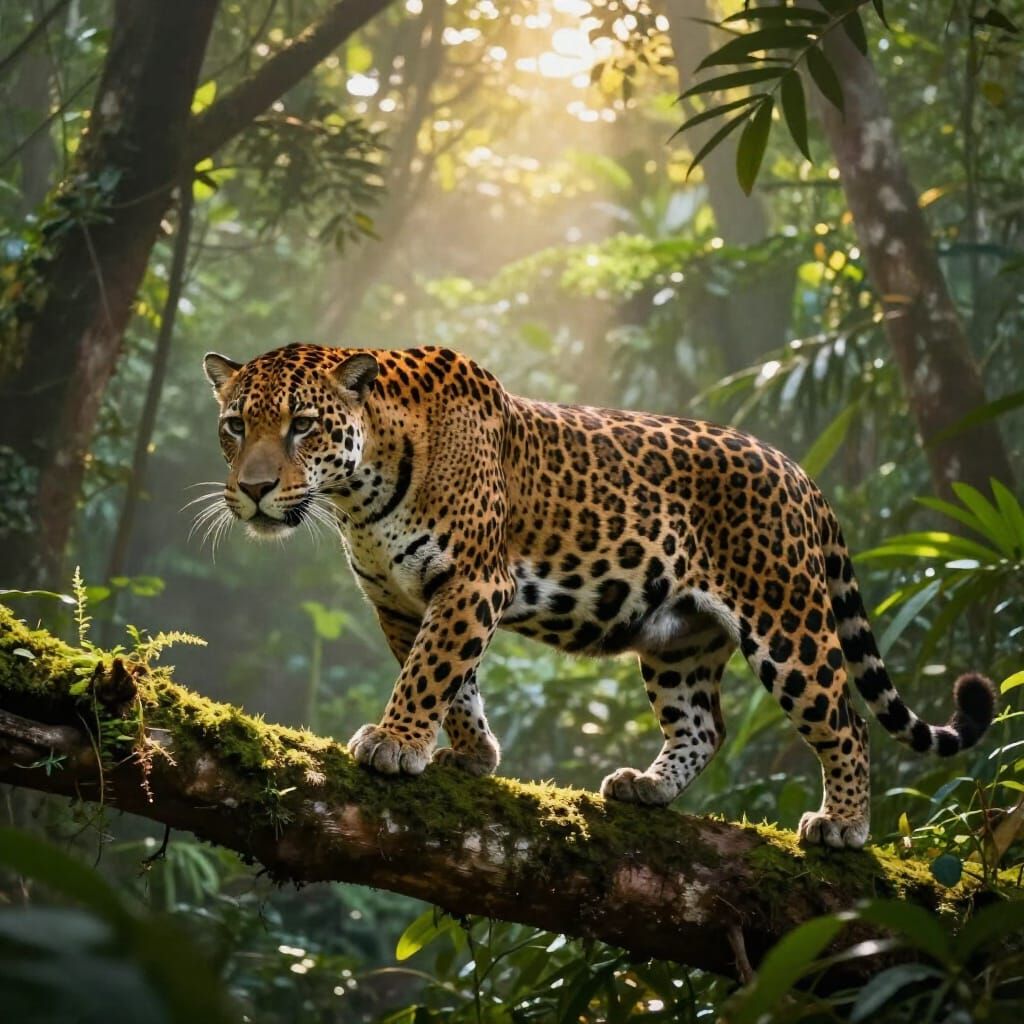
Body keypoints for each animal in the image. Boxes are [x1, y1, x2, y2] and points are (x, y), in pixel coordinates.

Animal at [202, 342, 996, 849]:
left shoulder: (473, 582)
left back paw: (845, 826)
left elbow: (430, 671)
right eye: (235, 425)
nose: (254, 489)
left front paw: (395, 743)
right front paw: (472, 752)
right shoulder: (399, 600)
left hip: (788, 621)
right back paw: (648, 786)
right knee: (702, 725)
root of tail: (799, 473)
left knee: (848, 722)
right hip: (680, 639)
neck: (358, 495)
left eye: (303, 426)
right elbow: (451, 680)